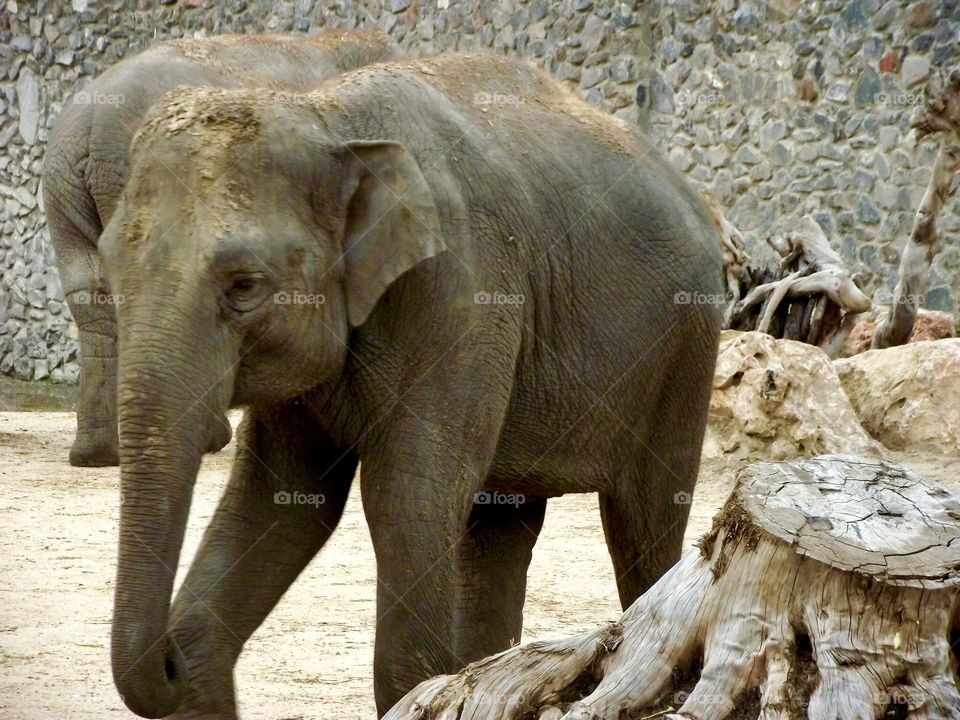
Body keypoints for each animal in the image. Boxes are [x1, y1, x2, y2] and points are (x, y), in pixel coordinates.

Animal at [99, 53, 724, 718]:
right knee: (498, 526)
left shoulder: (459, 292)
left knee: (644, 518)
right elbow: (282, 501)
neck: (324, 114)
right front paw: (192, 649)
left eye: (244, 285)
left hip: (685, 346)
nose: (165, 656)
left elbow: (407, 494)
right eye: (109, 272)